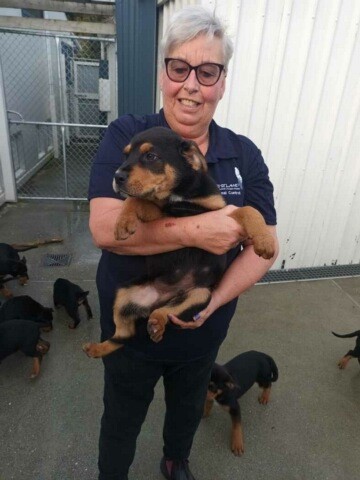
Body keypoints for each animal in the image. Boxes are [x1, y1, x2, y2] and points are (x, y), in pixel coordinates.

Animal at [83, 125, 276, 358]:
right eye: (125, 154)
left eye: (151, 156)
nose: (117, 176)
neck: (178, 193)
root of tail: (159, 299)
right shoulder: (160, 213)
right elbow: (136, 199)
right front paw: (123, 222)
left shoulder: (219, 212)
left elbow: (249, 210)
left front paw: (266, 242)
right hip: (122, 294)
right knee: (124, 334)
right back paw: (97, 348)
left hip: (200, 295)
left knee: (162, 313)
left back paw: (156, 324)